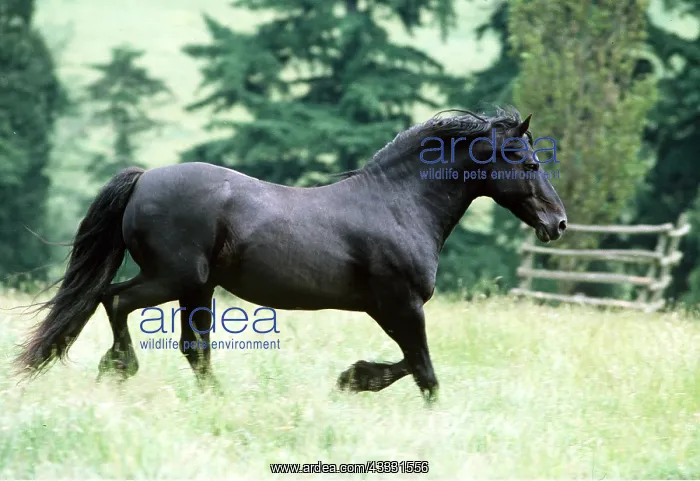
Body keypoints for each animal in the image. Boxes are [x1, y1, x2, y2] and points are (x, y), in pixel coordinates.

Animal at [15, 107, 567, 403]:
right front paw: (360, 382)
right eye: (528, 162)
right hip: (174, 279)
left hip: (197, 287)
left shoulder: (392, 310)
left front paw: (353, 378)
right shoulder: (400, 305)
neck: (399, 205)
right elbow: (424, 371)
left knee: (193, 349)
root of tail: (145, 178)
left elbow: (412, 365)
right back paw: (119, 367)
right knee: (114, 300)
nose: (557, 223)